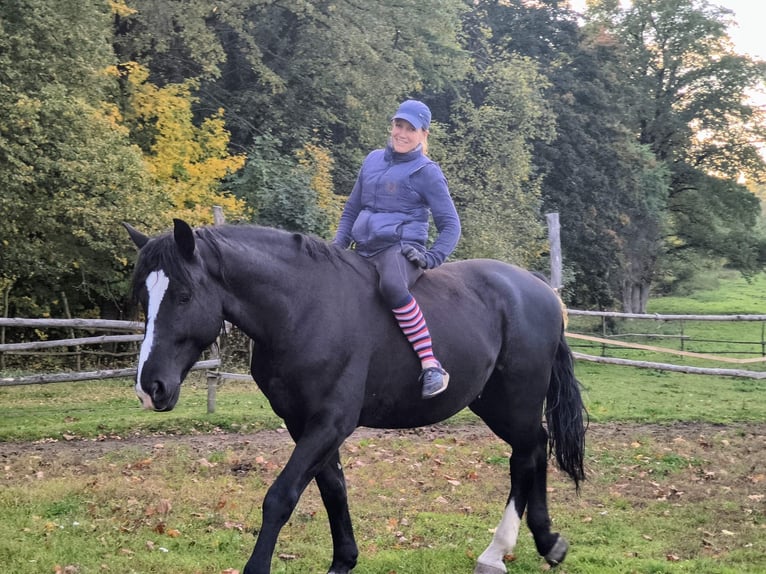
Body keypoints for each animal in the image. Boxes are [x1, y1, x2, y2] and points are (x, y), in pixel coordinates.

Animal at [125, 218, 587, 574]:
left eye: (183, 295)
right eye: (142, 296)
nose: (151, 387)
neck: (304, 309)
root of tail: (541, 290)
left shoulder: (331, 422)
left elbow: (281, 496)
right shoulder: (303, 423)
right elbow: (333, 489)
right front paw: (344, 560)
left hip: (516, 400)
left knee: (525, 457)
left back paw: (496, 553)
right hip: (494, 402)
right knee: (536, 448)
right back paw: (548, 542)